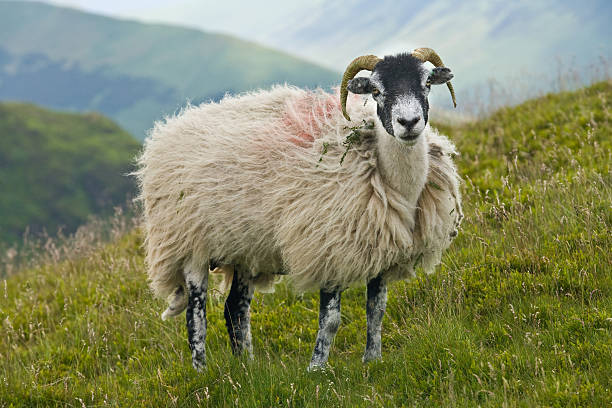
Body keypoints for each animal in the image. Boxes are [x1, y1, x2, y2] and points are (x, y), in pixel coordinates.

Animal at [136, 47, 464, 370]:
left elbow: (377, 310)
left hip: (245, 250)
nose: (409, 123)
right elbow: (330, 320)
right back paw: (202, 372)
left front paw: (372, 361)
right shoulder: (329, 248)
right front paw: (316, 369)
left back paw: (247, 369)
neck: (390, 179)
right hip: (189, 245)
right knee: (196, 315)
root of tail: (168, 130)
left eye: (426, 83)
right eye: (376, 91)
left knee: (235, 309)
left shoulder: (381, 251)